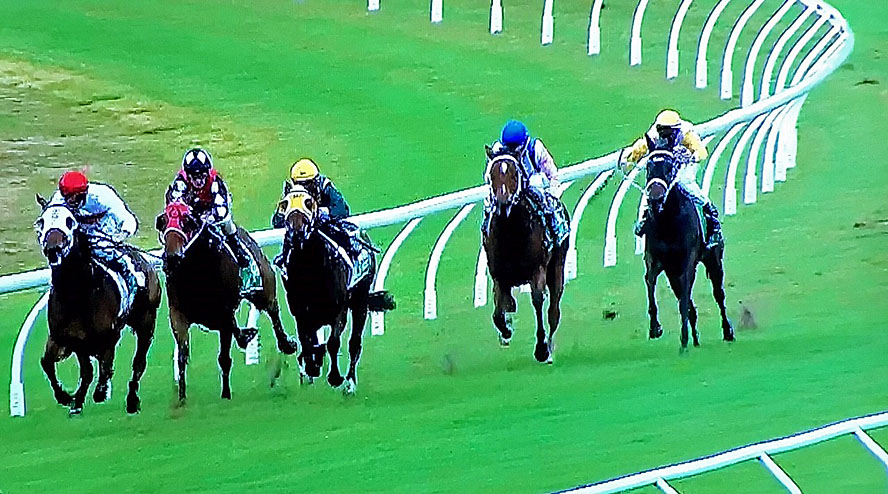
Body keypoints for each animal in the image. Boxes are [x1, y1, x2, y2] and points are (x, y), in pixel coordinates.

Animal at [34, 196, 161, 415]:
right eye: (41, 222)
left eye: (70, 221)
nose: (52, 249)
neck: (76, 295)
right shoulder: (66, 338)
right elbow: (51, 363)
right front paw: (70, 399)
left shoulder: (106, 336)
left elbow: (100, 367)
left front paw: (98, 392)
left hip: (146, 321)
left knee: (138, 362)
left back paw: (131, 400)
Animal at [155, 201, 297, 402]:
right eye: (163, 222)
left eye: (187, 222)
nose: (172, 258)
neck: (194, 273)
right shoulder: (178, 314)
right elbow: (182, 354)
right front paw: (181, 396)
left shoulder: (223, 313)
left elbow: (224, 357)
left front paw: (226, 394)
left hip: (264, 289)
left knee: (273, 311)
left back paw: (285, 344)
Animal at [276, 187, 395, 394]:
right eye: (285, 204)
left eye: (309, 202)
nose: (297, 232)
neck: (310, 270)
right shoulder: (302, 315)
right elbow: (308, 343)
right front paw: (311, 366)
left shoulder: (339, 311)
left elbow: (333, 342)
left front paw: (335, 377)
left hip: (360, 302)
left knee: (354, 343)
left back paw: (350, 383)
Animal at [482, 147, 570, 364]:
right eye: (491, 175)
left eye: (515, 174)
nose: (503, 202)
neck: (511, 235)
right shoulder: (499, 276)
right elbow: (498, 312)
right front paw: (506, 330)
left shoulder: (537, 270)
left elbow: (537, 301)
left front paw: (541, 348)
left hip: (557, 268)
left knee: (553, 310)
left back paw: (550, 347)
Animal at [640, 149, 735, 350]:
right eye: (648, 167)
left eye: (670, 168)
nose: (655, 199)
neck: (667, 222)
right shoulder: (656, 261)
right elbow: (650, 282)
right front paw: (655, 327)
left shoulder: (688, 260)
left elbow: (685, 297)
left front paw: (683, 338)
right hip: (673, 272)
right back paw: (695, 338)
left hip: (714, 261)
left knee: (718, 295)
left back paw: (727, 331)